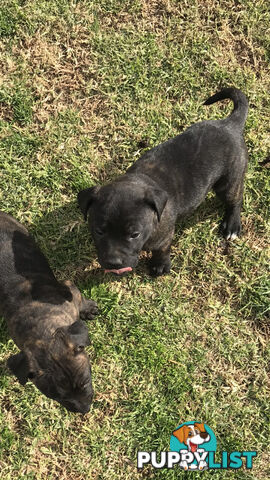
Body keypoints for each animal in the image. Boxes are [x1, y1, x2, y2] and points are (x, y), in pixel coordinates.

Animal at [0, 212, 98, 414]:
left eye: (85, 382)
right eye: (58, 397)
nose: (84, 410)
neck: (43, 328)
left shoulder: (70, 288)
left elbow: (81, 301)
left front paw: (89, 309)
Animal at [77, 88, 248, 276]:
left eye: (134, 234)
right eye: (99, 231)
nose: (114, 263)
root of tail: (229, 124)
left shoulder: (164, 237)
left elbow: (161, 250)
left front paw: (159, 265)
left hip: (229, 181)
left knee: (235, 199)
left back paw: (232, 225)